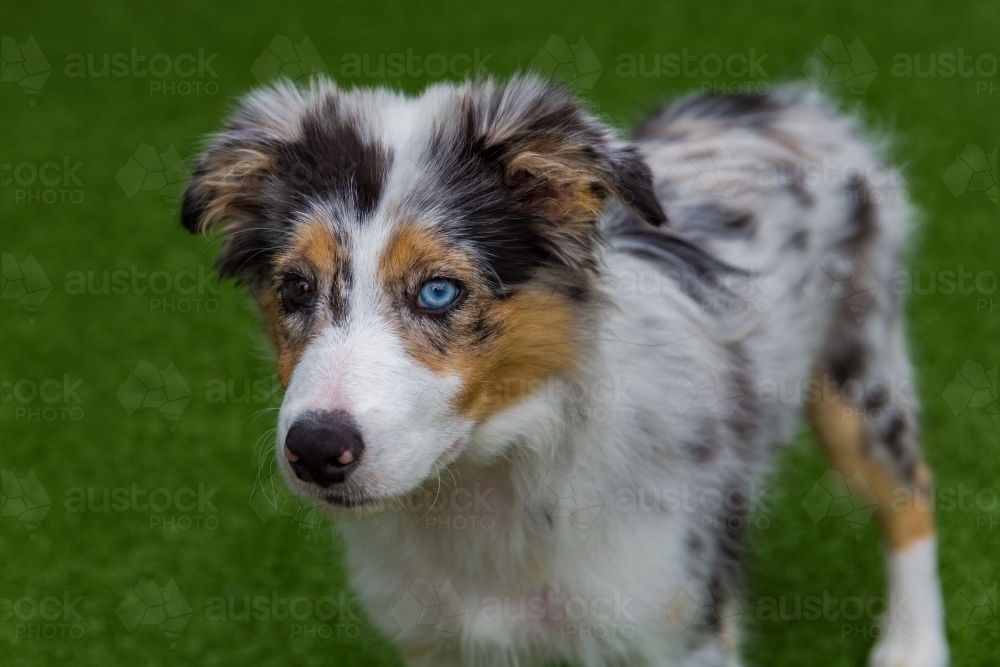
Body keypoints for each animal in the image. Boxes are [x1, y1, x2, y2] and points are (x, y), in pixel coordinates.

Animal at [182, 75, 952, 664]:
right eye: (294, 289)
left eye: (439, 291)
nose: (316, 450)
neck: (488, 485)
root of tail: (788, 102)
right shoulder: (433, 637)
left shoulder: (678, 623)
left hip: (859, 364)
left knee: (909, 489)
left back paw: (912, 645)